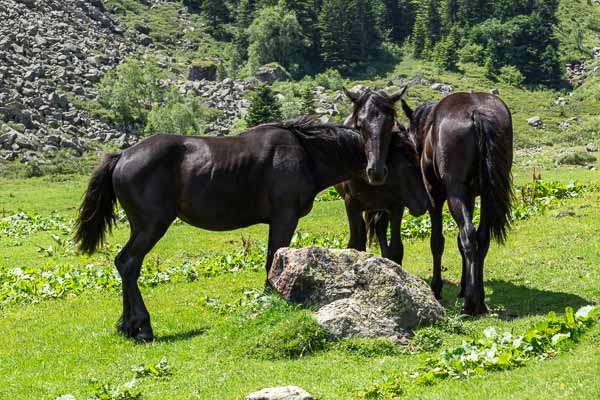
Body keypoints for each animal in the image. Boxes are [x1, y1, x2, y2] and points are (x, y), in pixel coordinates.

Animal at [398, 92, 516, 314]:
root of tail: (476, 111)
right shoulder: (469, 197)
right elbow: (460, 243)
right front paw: (463, 285)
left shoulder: (435, 198)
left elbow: (437, 242)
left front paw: (436, 288)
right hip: (486, 197)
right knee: (481, 238)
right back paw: (479, 299)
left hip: (454, 193)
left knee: (469, 235)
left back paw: (470, 303)